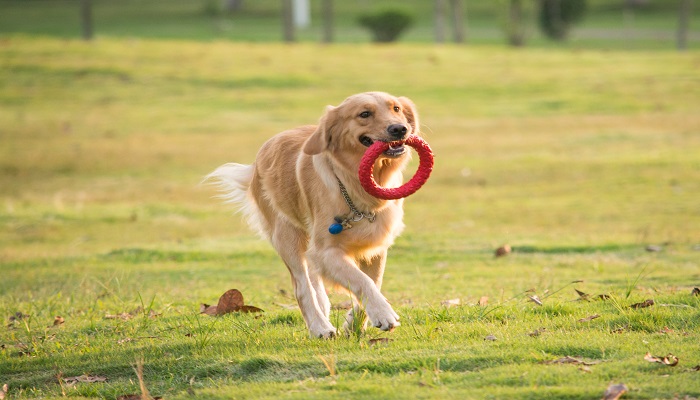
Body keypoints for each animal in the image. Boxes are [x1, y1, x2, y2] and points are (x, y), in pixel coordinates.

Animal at [205, 92, 418, 340]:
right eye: (364, 114)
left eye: (396, 109)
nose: (400, 129)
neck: (353, 185)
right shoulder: (325, 251)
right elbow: (362, 281)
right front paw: (383, 313)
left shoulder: (375, 246)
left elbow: (374, 281)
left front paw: (354, 324)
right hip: (287, 238)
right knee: (302, 287)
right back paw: (319, 327)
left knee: (316, 285)